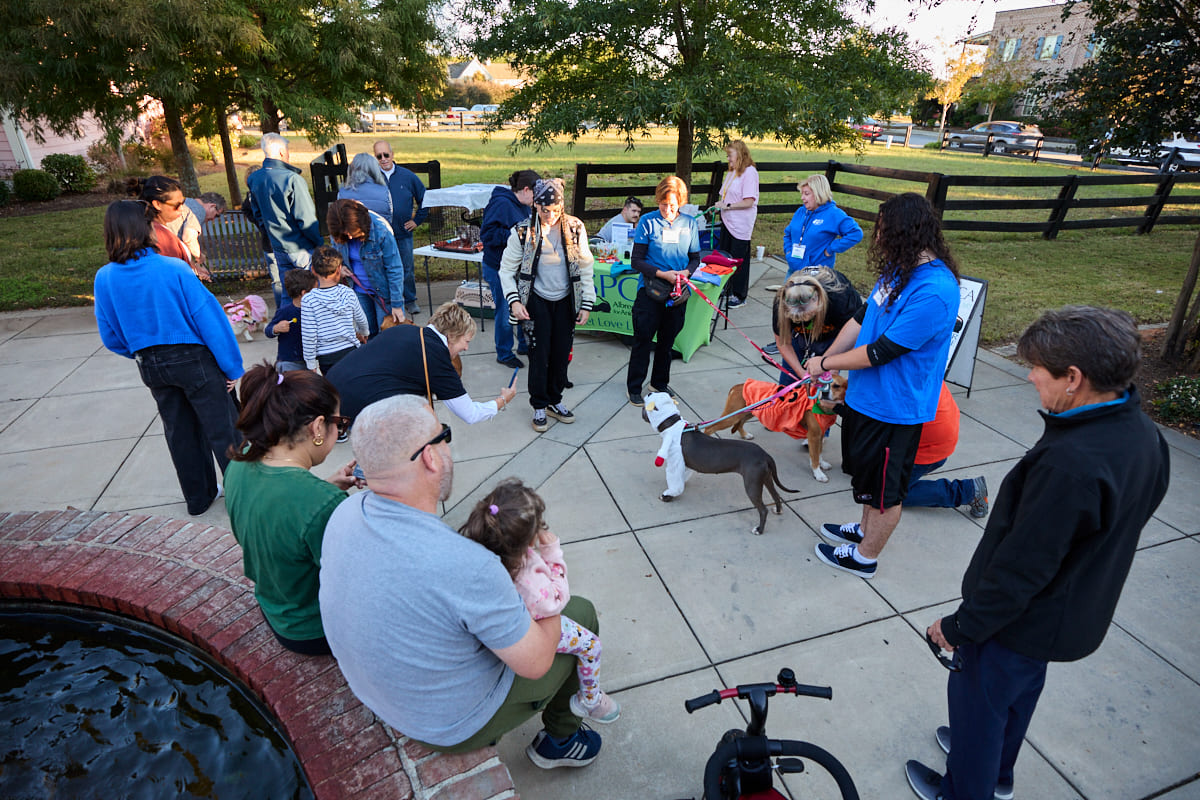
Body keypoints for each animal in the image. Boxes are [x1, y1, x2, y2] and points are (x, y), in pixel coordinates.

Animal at [705, 376, 849, 482]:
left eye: (837, 386)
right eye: (820, 385)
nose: (824, 392)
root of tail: (737, 386)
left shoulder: (820, 434)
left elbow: (819, 452)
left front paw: (822, 463)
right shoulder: (813, 435)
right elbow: (814, 457)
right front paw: (818, 473)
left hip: (748, 413)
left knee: (740, 424)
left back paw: (745, 435)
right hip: (732, 416)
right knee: (709, 427)